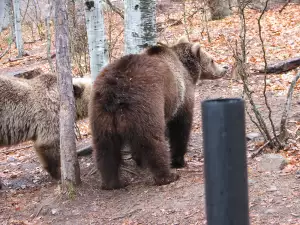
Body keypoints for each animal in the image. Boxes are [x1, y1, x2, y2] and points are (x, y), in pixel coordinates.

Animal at [89, 37, 227, 190]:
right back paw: (168, 176)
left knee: (105, 147)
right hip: (146, 104)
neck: (185, 68)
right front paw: (178, 160)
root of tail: (114, 92)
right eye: (212, 60)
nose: (225, 68)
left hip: (100, 114)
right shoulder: (181, 94)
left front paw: (139, 160)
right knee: (152, 141)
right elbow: (181, 126)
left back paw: (113, 182)